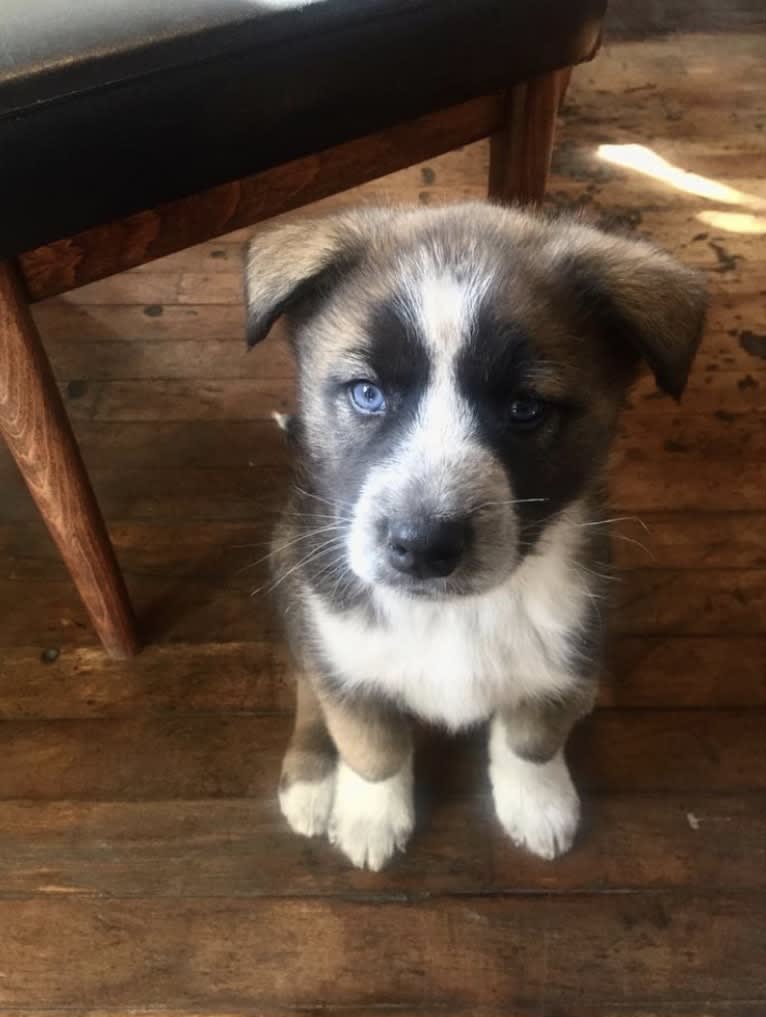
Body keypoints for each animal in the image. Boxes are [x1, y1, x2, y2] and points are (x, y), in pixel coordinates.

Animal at [243, 202, 703, 870]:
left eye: (525, 408)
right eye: (367, 393)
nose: (422, 547)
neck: (455, 614)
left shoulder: (570, 628)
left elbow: (532, 738)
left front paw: (538, 803)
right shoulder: (342, 649)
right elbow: (369, 742)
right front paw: (370, 815)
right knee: (309, 687)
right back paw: (311, 777)